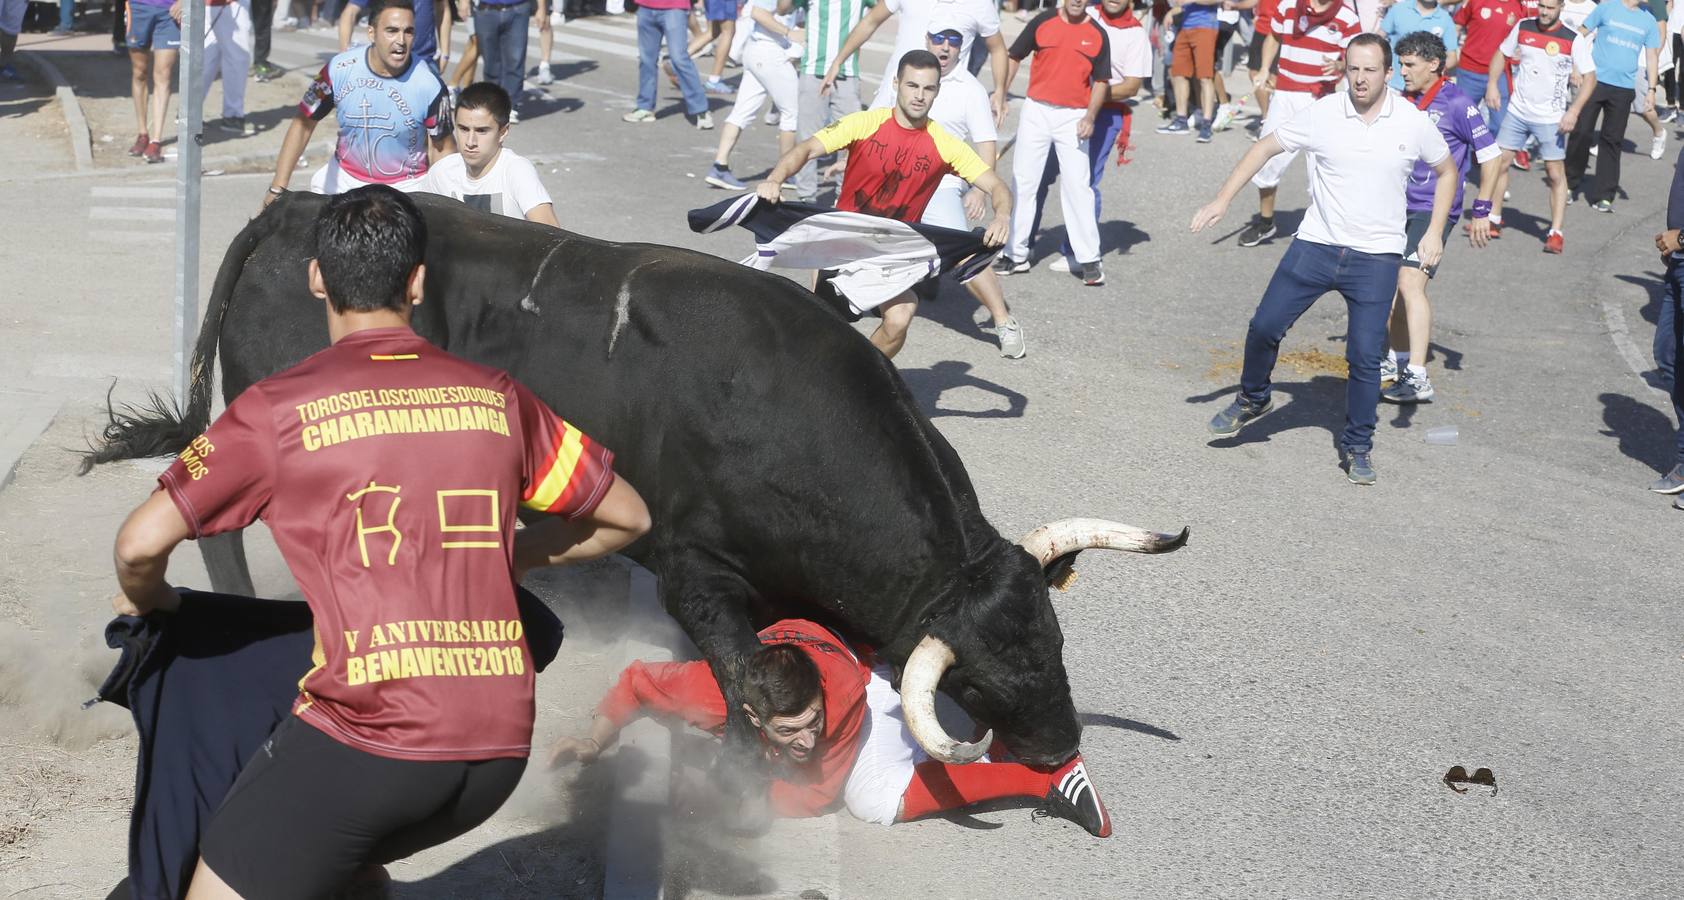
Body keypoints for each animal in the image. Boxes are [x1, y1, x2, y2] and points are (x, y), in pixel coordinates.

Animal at [85, 193, 1192, 771]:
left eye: (1055, 641)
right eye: (976, 681)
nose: (1058, 744)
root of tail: (305, 209)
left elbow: (763, 666)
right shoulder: (694, 566)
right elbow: (741, 667)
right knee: (219, 527)